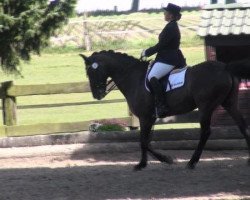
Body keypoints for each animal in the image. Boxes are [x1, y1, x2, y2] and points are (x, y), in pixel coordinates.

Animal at [79, 50, 250, 170]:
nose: (97, 95)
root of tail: (225, 67)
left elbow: (143, 141)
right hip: (229, 103)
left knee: (206, 132)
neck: (134, 77)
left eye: (91, 72)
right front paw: (145, 163)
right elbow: (146, 140)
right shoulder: (150, 118)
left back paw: (192, 162)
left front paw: (161, 160)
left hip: (206, 107)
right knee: (242, 125)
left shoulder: (146, 117)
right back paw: (248, 158)